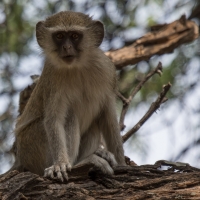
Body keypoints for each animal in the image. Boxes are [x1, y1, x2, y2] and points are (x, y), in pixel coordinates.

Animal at [12, 10, 125, 181]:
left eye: (74, 36)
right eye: (59, 36)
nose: (66, 47)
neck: (78, 67)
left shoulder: (108, 71)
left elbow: (109, 119)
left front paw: (122, 162)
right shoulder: (52, 77)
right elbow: (54, 120)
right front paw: (60, 163)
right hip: (30, 146)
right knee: (69, 116)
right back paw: (81, 162)